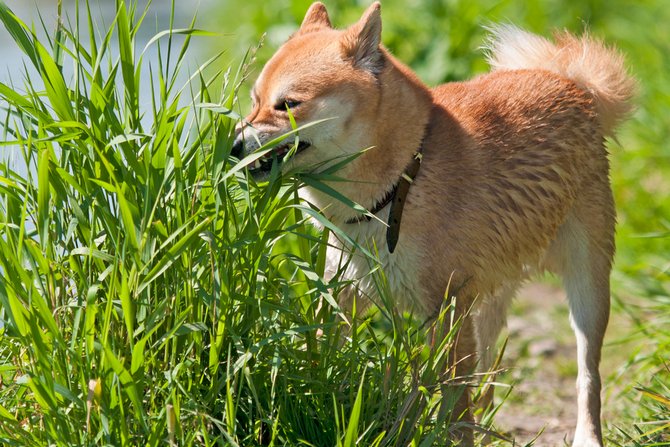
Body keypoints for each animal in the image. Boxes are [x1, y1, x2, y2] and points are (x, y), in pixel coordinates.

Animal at [234, 2, 636, 444]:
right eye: (255, 101)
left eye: (288, 104)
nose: (234, 146)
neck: (401, 182)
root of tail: (570, 83)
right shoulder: (345, 294)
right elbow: (320, 357)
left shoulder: (446, 309)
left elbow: (451, 399)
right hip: (489, 301)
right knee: (486, 378)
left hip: (586, 290)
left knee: (587, 376)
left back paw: (587, 434)